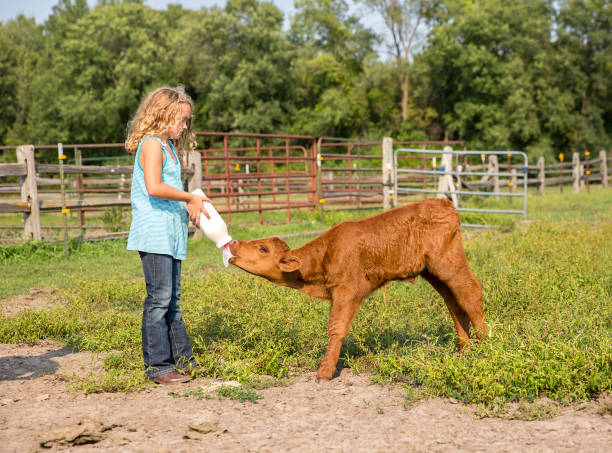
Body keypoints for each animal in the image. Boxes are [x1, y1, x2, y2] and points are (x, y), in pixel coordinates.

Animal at [228, 198, 488, 382]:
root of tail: (443, 202)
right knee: (454, 302)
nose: (234, 242)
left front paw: (325, 372)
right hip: (433, 272)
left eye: (262, 248)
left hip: (449, 263)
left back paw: (486, 346)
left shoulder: (347, 290)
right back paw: (464, 351)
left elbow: (336, 327)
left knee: (470, 291)